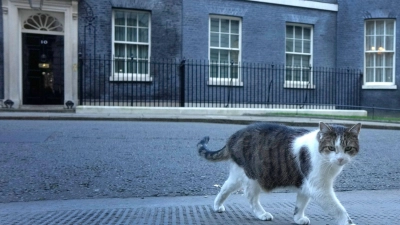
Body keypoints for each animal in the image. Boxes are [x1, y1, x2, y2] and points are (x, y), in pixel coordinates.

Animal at [198, 122, 360, 224]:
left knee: (225, 187)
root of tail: (234, 136)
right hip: (253, 177)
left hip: (239, 174)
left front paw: (298, 218)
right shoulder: (319, 188)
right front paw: (348, 222)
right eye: (331, 148)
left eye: (348, 149)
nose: (340, 159)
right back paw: (262, 214)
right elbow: (339, 210)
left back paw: (217, 205)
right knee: (250, 197)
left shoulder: (305, 183)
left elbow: (301, 203)